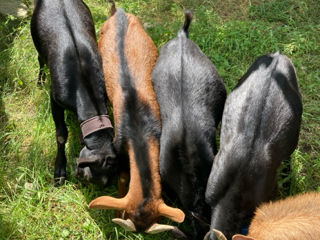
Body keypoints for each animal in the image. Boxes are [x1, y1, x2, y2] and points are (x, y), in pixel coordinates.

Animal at [30, 0, 115, 186]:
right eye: (91, 179)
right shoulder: (55, 99)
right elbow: (61, 134)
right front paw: (60, 170)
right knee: (40, 59)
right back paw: (40, 81)